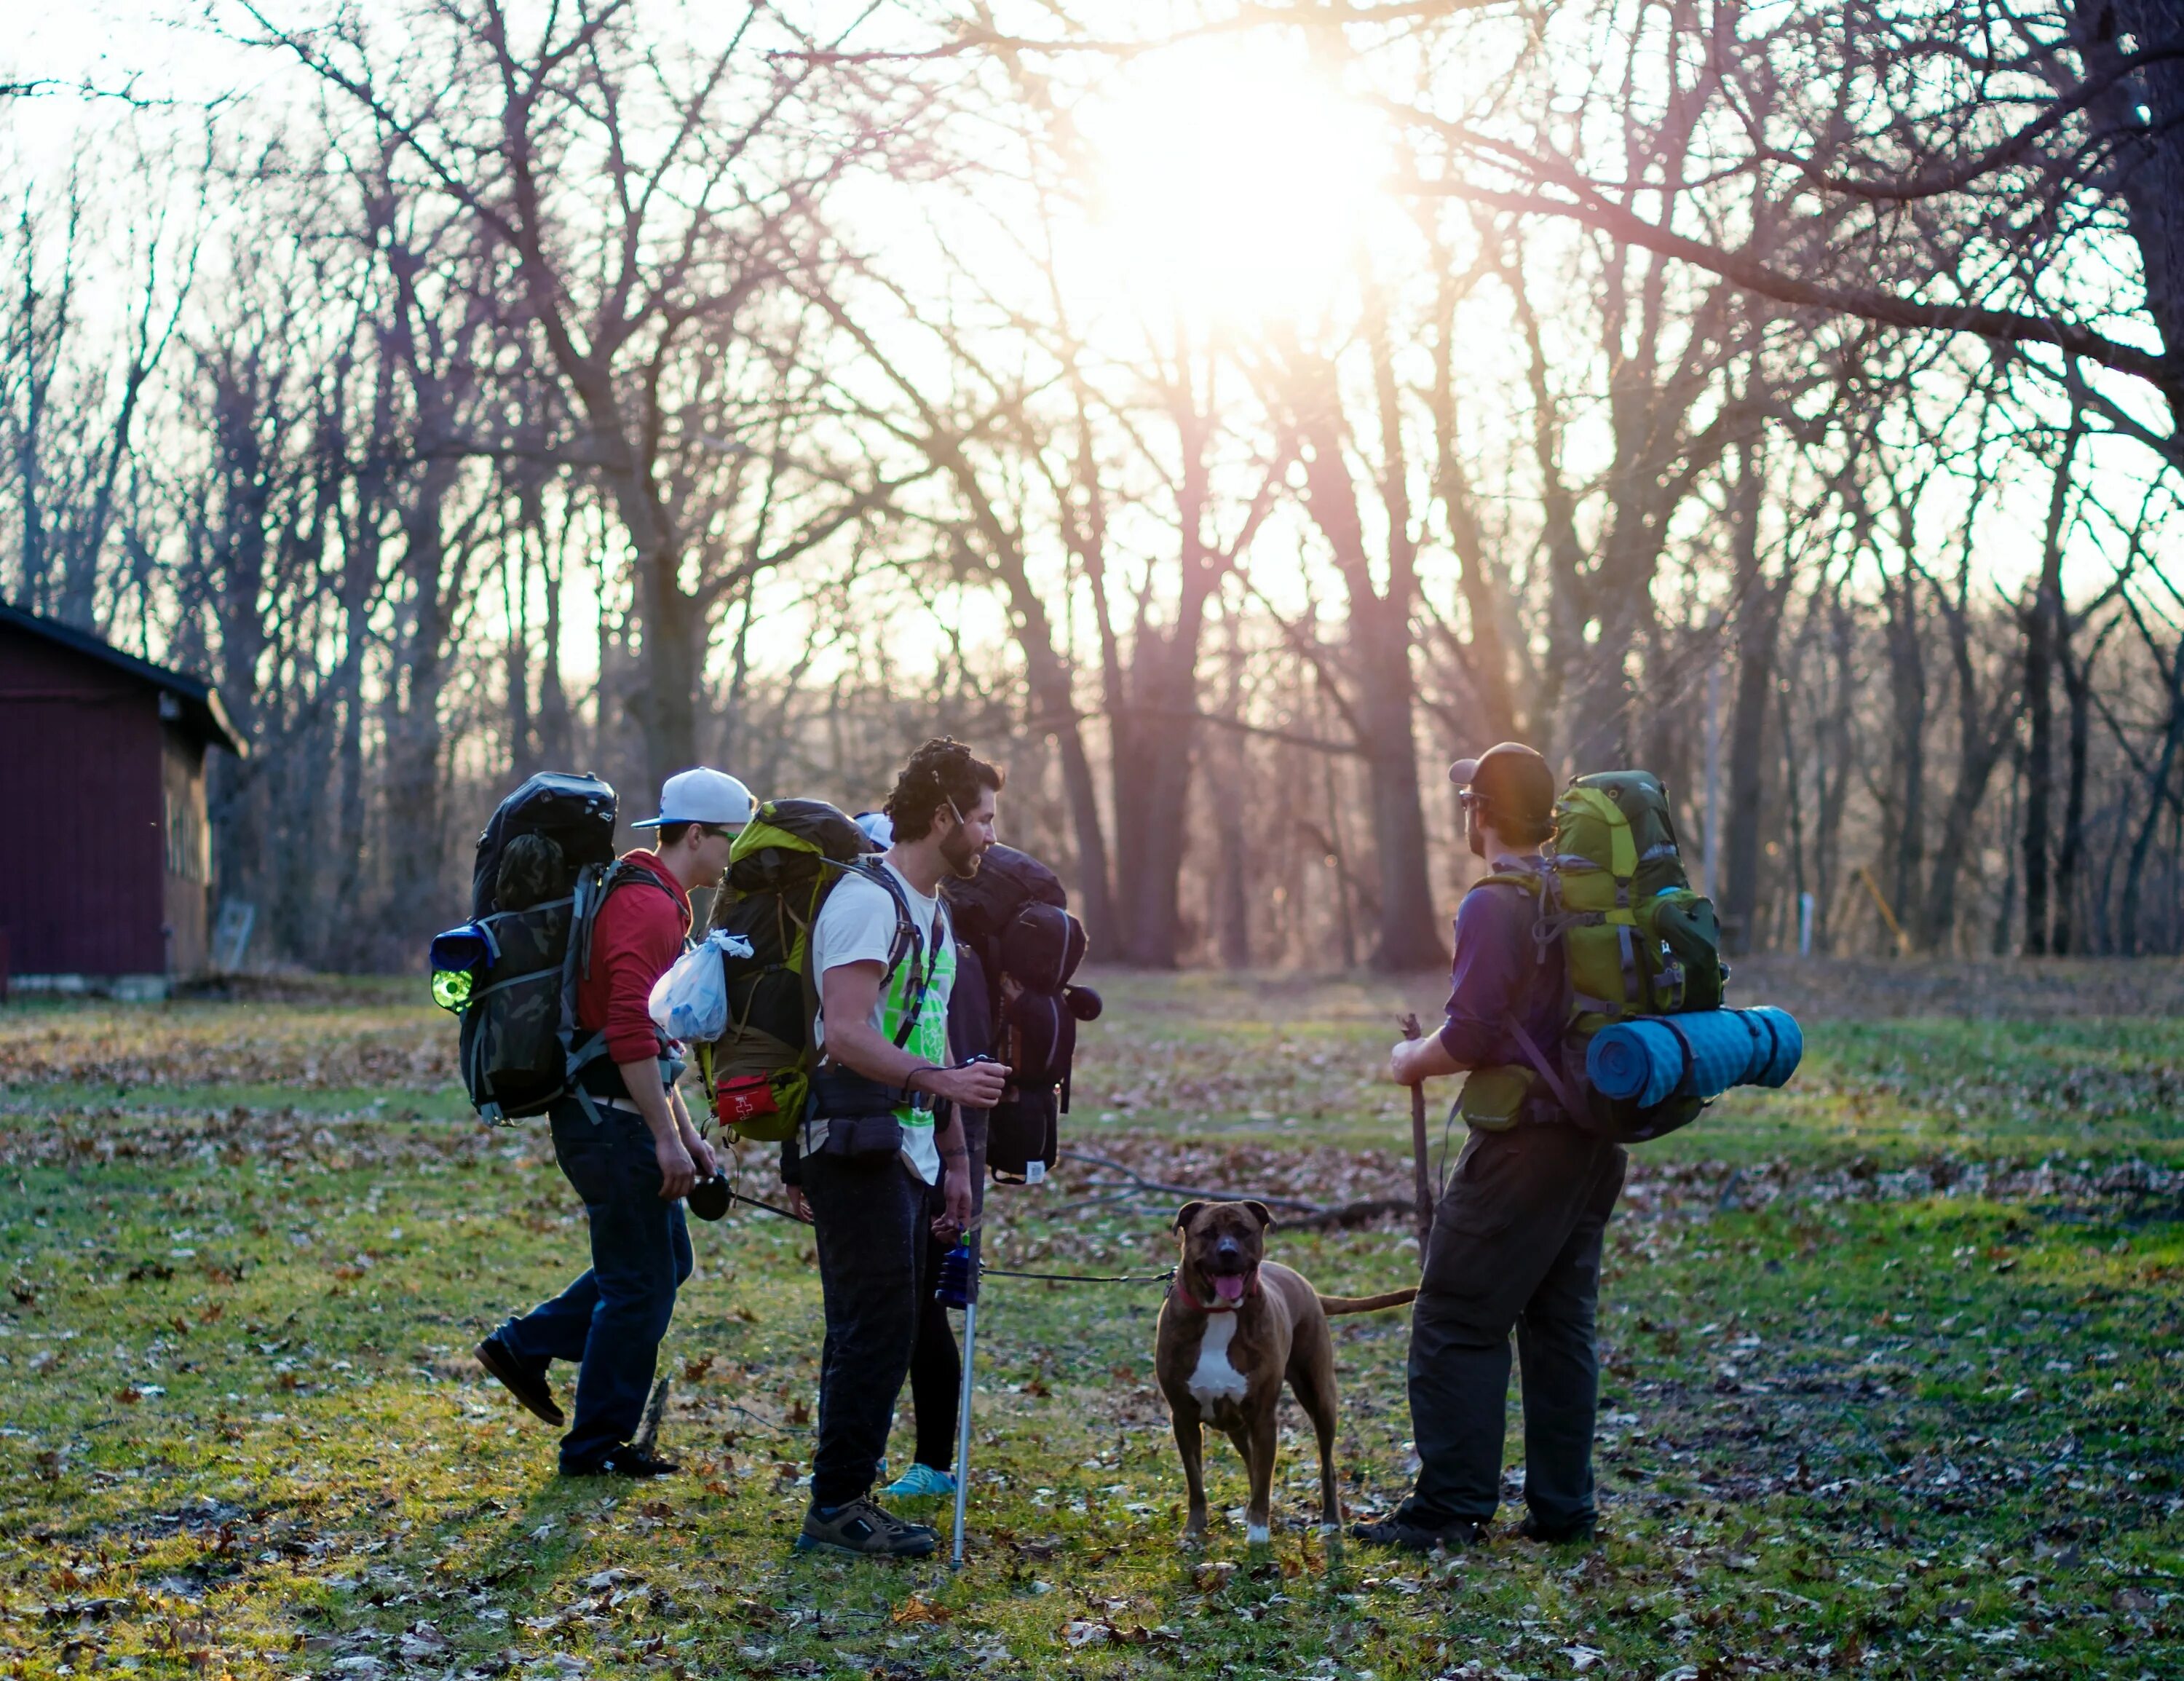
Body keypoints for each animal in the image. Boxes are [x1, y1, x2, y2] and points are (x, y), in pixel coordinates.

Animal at [1162, 1196, 1415, 1537]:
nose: (1228, 1252)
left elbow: (1263, 1480)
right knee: (1250, 1460)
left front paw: (1258, 1534)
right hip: (1237, 1423)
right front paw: (1194, 1531)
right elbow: (1196, 1481)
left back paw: (1330, 1521)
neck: (1220, 1312)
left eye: (1243, 1231)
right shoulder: (1184, 1417)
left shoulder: (1263, 1416)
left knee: (1326, 1465)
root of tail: (1305, 1283)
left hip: (1320, 1396)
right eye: (1208, 1232)